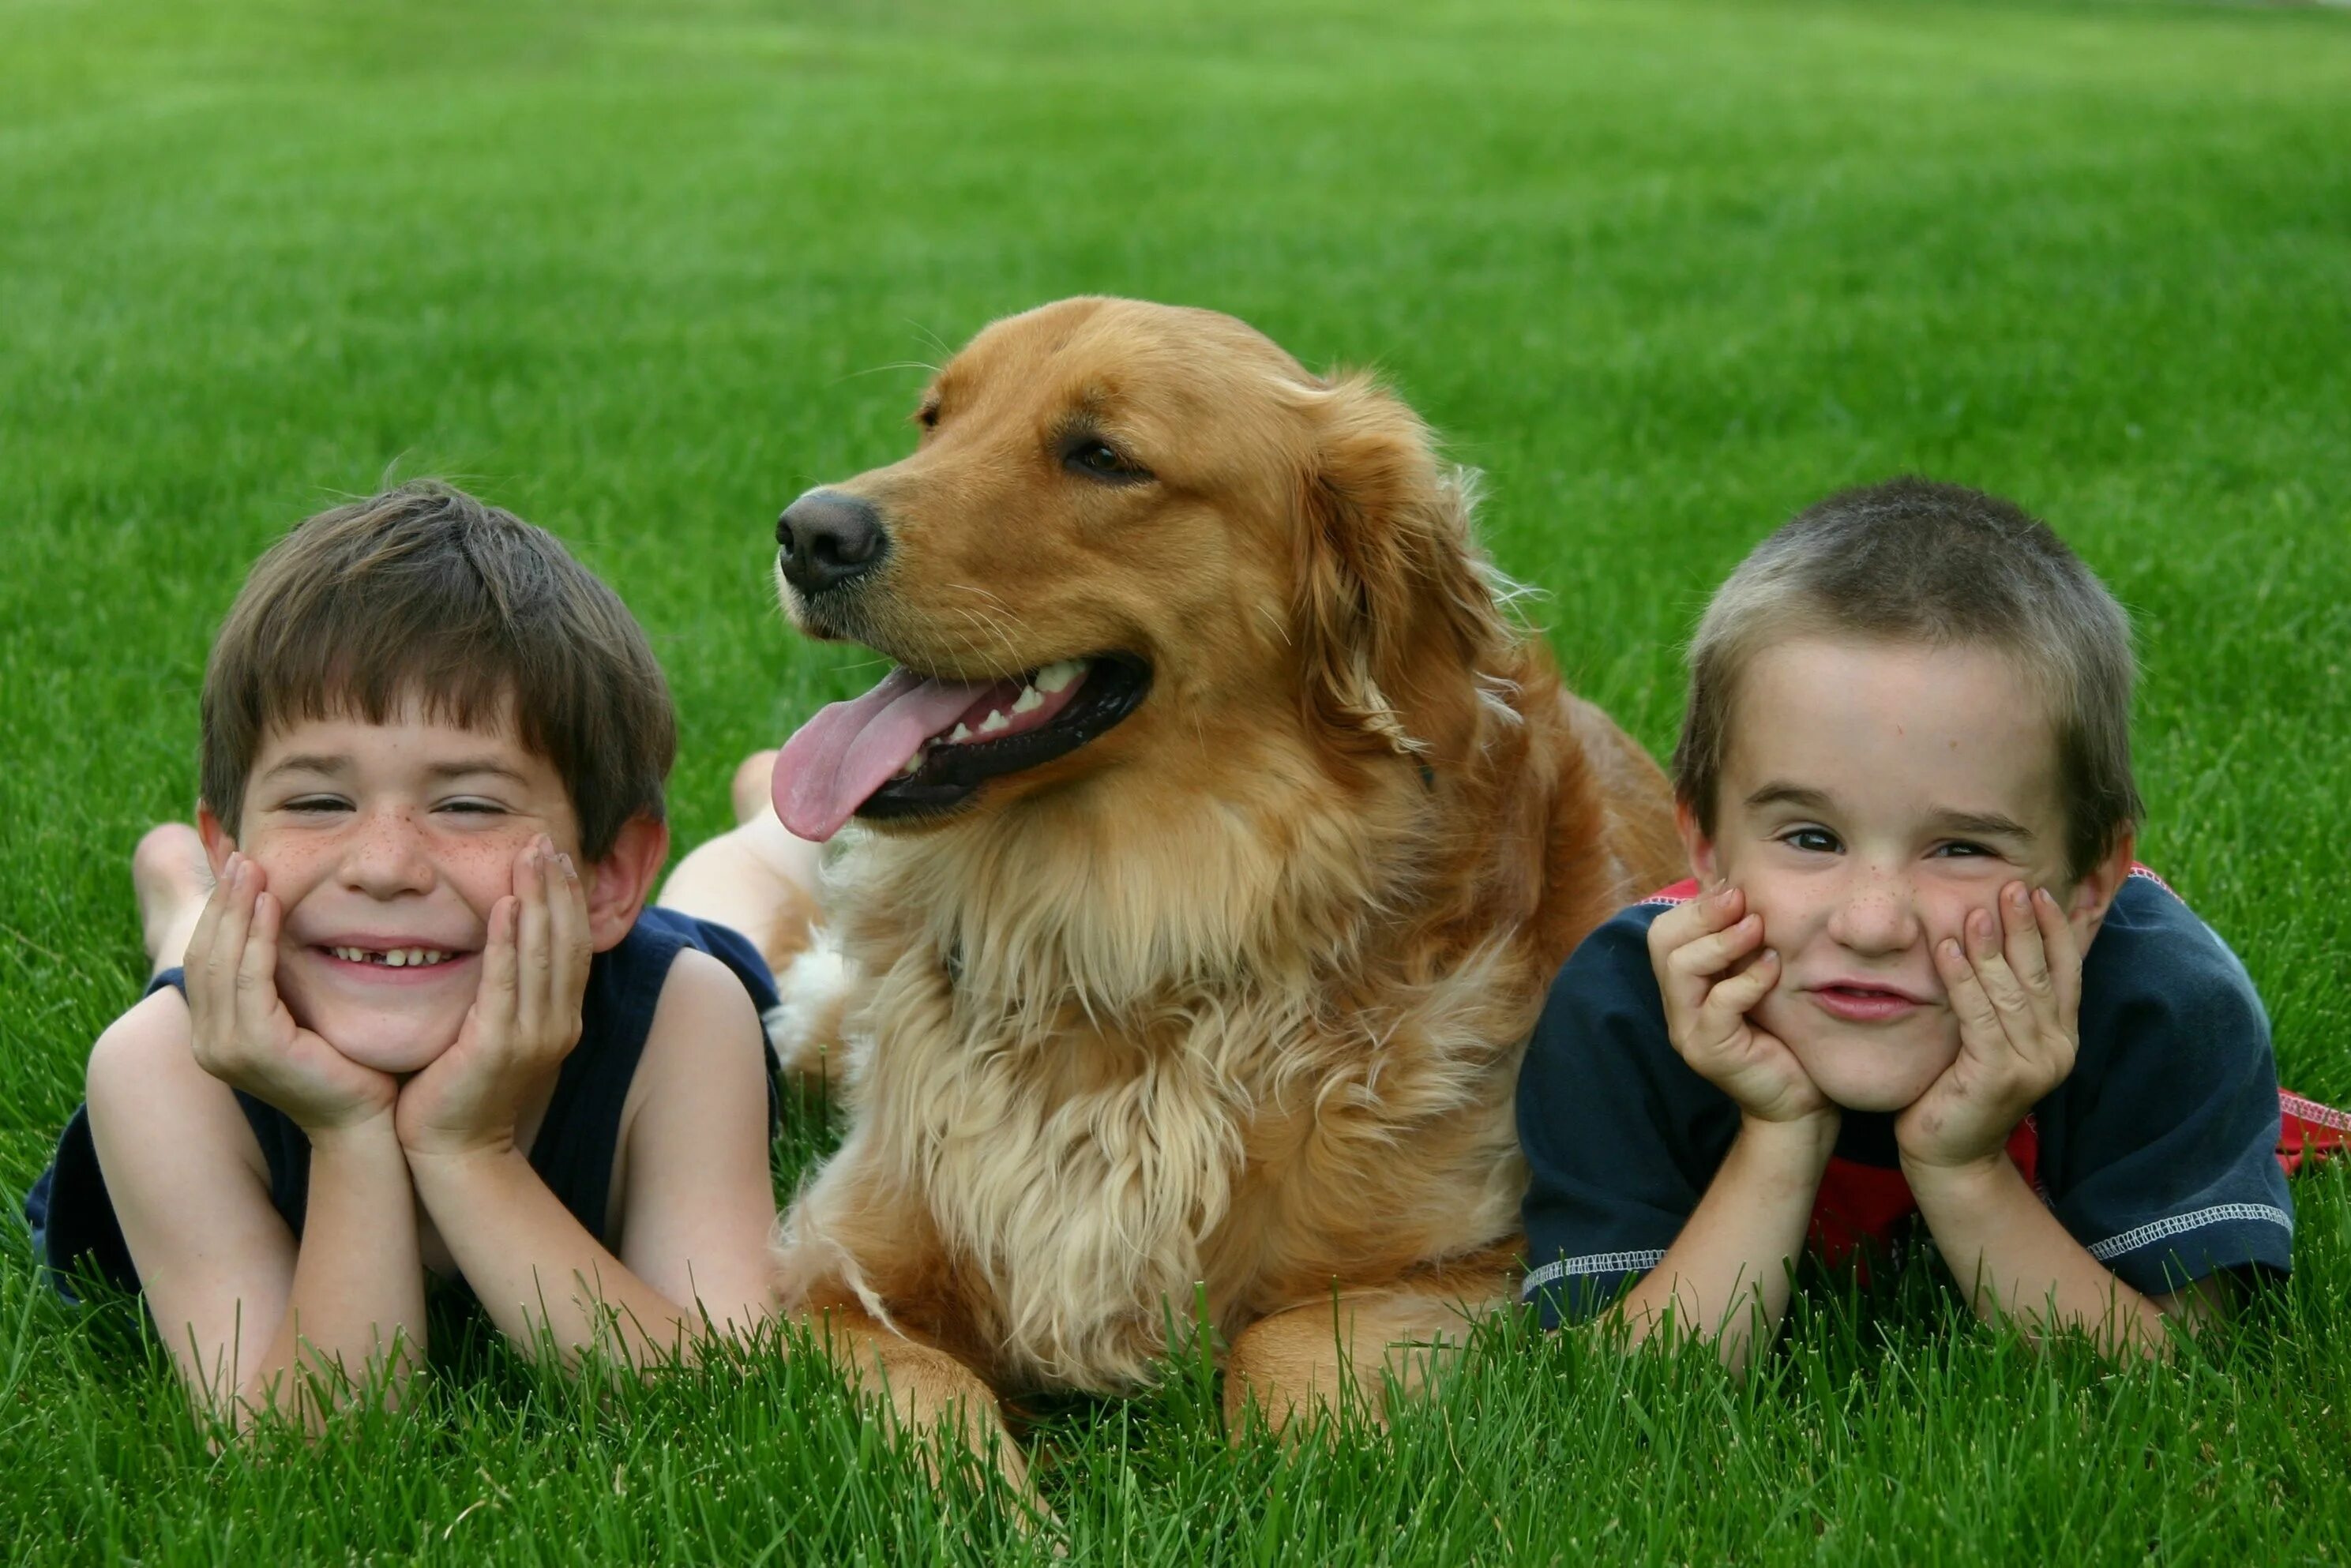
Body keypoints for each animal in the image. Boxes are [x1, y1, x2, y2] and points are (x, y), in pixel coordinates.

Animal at [761, 297, 1683, 1485]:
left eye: (1103, 457)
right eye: (933, 419)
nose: (807, 532)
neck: (1120, 935)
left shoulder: (1484, 1264)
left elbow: (1284, 1351)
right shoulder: (834, 1278)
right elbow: (932, 1409)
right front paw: (1002, 1506)